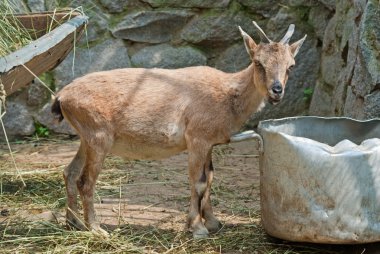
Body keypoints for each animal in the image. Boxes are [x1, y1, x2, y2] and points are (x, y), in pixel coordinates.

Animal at [52, 21, 306, 238]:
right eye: (258, 62)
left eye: (291, 66)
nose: (276, 90)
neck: (227, 95)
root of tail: (62, 97)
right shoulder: (197, 138)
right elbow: (198, 180)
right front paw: (197, 228)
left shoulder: (209, 142)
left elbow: (210, 178)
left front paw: (213, 223)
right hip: (99, 137)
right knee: (85, 180)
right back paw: (96, 229)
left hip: (86, 139)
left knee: (69, 172)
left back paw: (73, 222)